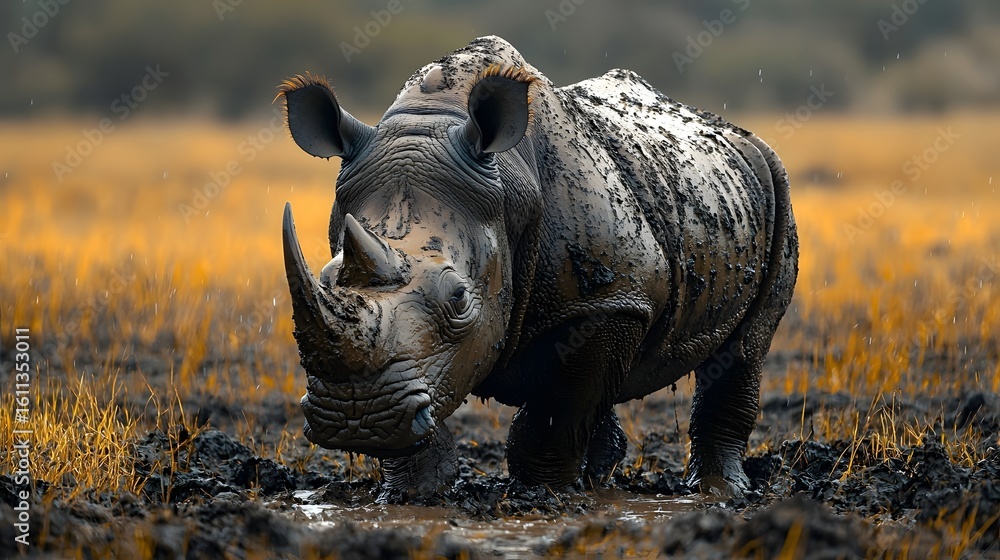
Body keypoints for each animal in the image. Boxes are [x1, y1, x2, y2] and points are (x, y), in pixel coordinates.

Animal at [278, 36, 797, 499]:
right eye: (326, 281)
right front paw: (411, 495)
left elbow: (555, 411)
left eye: (459, 299)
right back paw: (602, 481)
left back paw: (720, 492)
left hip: (773, 177)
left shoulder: (611, 300)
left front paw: (540, 496)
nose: (356, 416)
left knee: (745, 349)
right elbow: (424, 398)